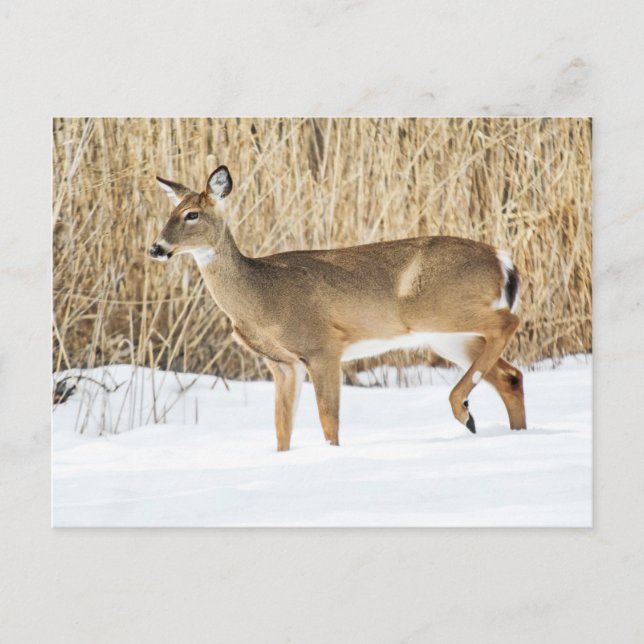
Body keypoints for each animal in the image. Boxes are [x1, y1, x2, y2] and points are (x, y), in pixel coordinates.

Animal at [150, 166, 527, 451]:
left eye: (192, 215)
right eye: (169, 213)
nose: (156, 248)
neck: (261, 296)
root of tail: (502, 260)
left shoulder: (323, 346)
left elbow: (328, 421)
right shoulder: (282, 364)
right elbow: (282, 430)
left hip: (438, 310)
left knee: (510, 322)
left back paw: (463, 410)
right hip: (445, 335)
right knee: (511, 375)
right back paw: (508, 429)